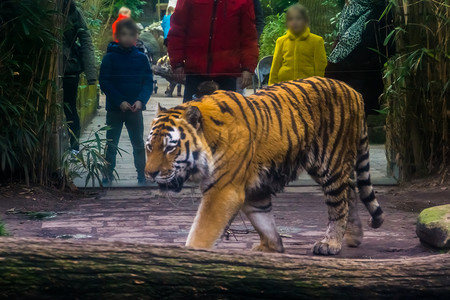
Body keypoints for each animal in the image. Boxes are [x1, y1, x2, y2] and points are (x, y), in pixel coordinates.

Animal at [145, 76, 384, 254]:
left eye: (169, 148)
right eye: (149, 147)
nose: (149, 174)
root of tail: (355, 92)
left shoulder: (223, 190)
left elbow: (202, 231)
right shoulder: (254, 187)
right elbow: (263, 219)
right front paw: (271, 247)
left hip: (331, 163)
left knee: (339, 205)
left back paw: (330, 243)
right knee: (350, 190)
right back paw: (353, 237)